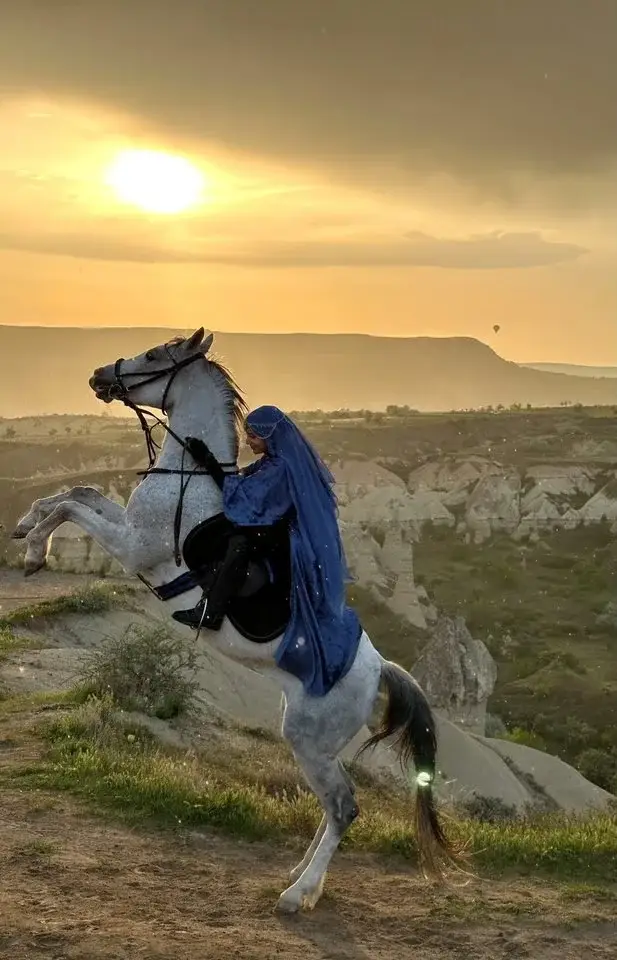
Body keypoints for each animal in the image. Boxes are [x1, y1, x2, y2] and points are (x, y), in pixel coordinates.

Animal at [12, 327, 461, 912]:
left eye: (154, 354)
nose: (98, 377)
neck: (188, 475)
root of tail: (379, 669)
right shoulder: (128, 527)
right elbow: (77, 493)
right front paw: (25, 525)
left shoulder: (134, 547)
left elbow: (73, 507)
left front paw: (35, 551)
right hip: (314, 740)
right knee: (336, 804)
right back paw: (302, 875)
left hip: (309, 738)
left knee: (344, 806)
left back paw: (298, 894)